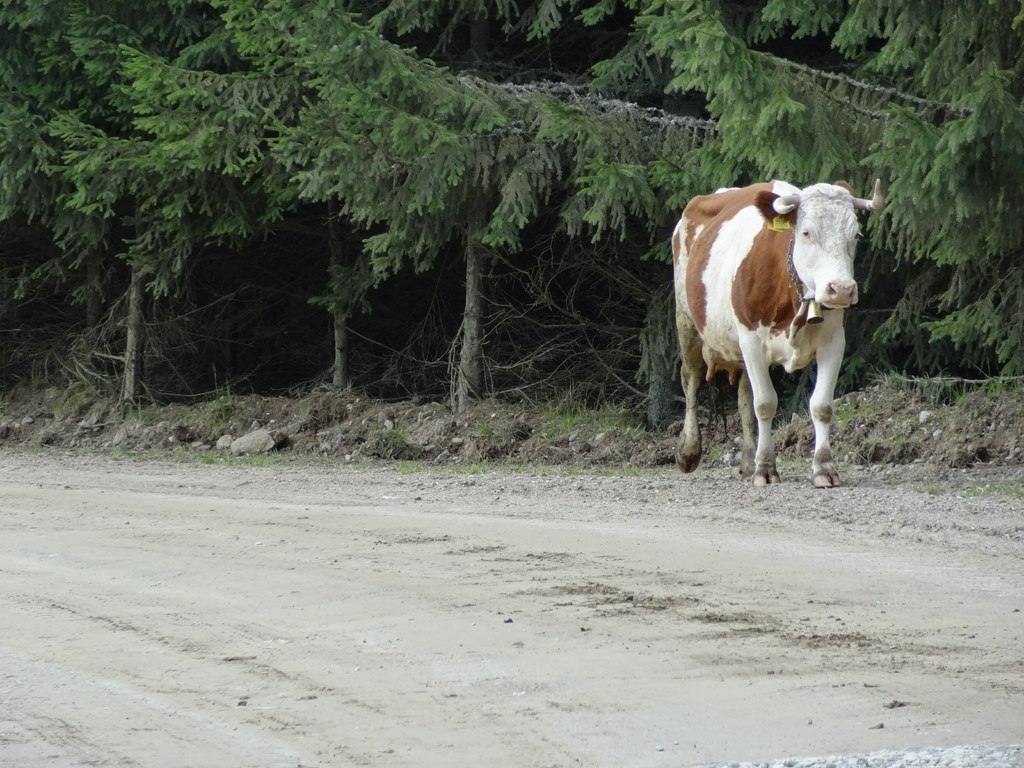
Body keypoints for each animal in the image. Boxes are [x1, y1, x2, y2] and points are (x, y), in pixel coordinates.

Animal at [675, 179, 884, 487]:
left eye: (855, 234)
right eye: (807, 232)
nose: (842, 289)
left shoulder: (834, 341)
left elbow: (821, 405)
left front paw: (823, 467)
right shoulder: (751, 339)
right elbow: (765, 403)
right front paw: (765, 468)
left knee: (743, 398)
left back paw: (748, 460)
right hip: (687, 320)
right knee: (691, 378)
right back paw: (689, 450)